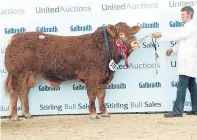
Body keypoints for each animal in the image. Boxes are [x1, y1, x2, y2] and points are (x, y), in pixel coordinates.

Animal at [4, 21, 140, 120]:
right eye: (121, 34)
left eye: (131, 31)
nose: (135, 42)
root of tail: (16, 36)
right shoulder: (92, 77)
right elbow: (92, 95)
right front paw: (93, 114)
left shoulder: (102, 78)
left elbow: (101, 96)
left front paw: (105, 113)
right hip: (17, 73)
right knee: (14, 92)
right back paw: (15, 116)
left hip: (26, 75)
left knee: (23, 93)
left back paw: (27, 114)